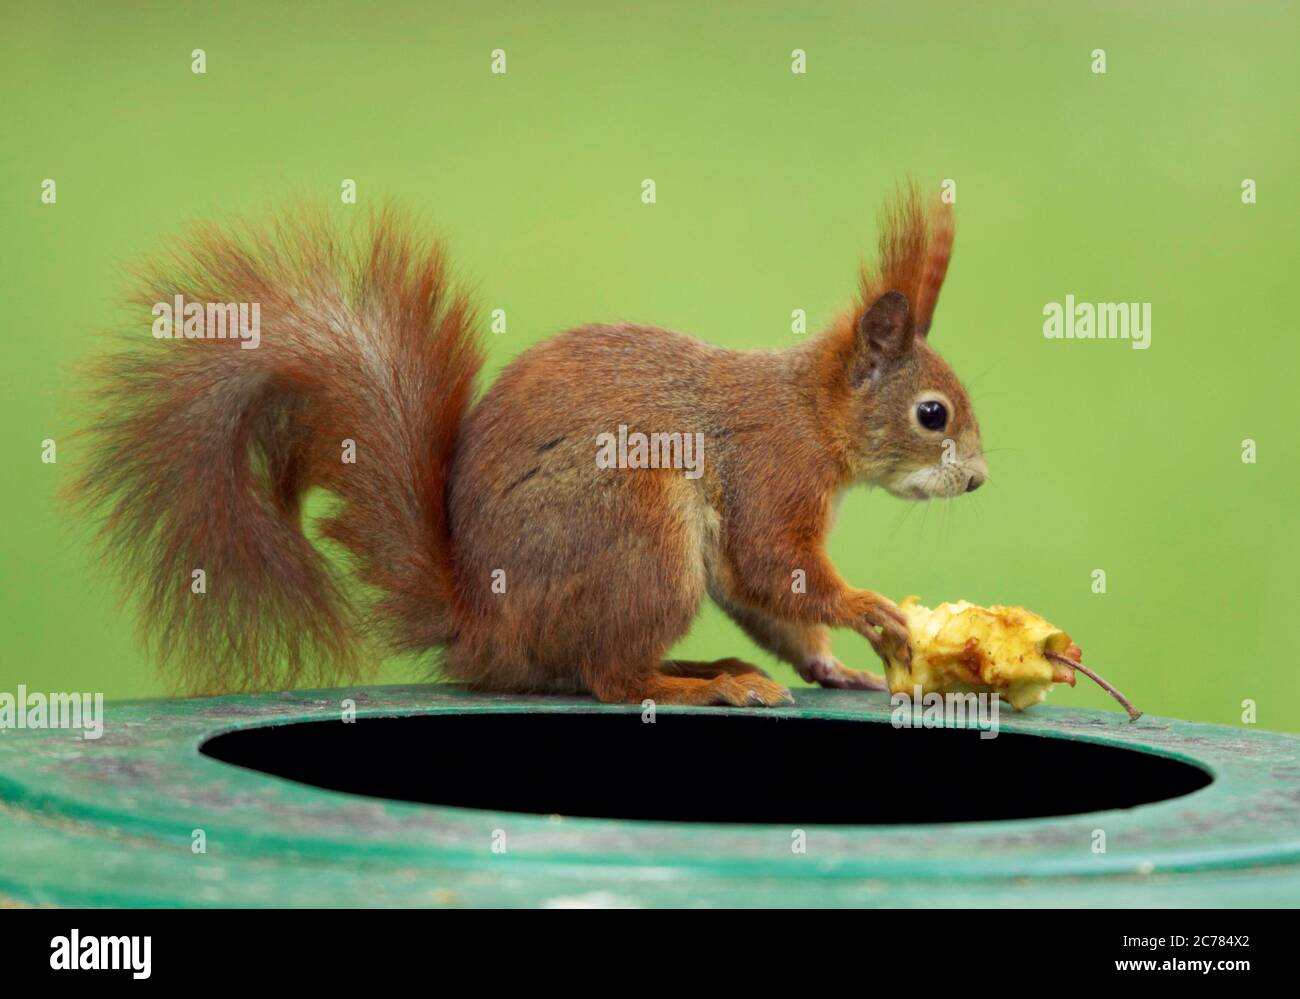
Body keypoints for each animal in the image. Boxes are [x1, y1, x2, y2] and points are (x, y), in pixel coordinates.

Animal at [71, 183, 985, 708]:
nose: (977, 481)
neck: (810, 410)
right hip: (639, 530)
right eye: (932, 414)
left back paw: (707, 667)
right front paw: (870, 612)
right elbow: (774, 568)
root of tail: (483, 626)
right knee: (610, 680)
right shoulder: (772, 473)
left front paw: (838, 667)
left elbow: (763, 600)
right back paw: (714, 684)